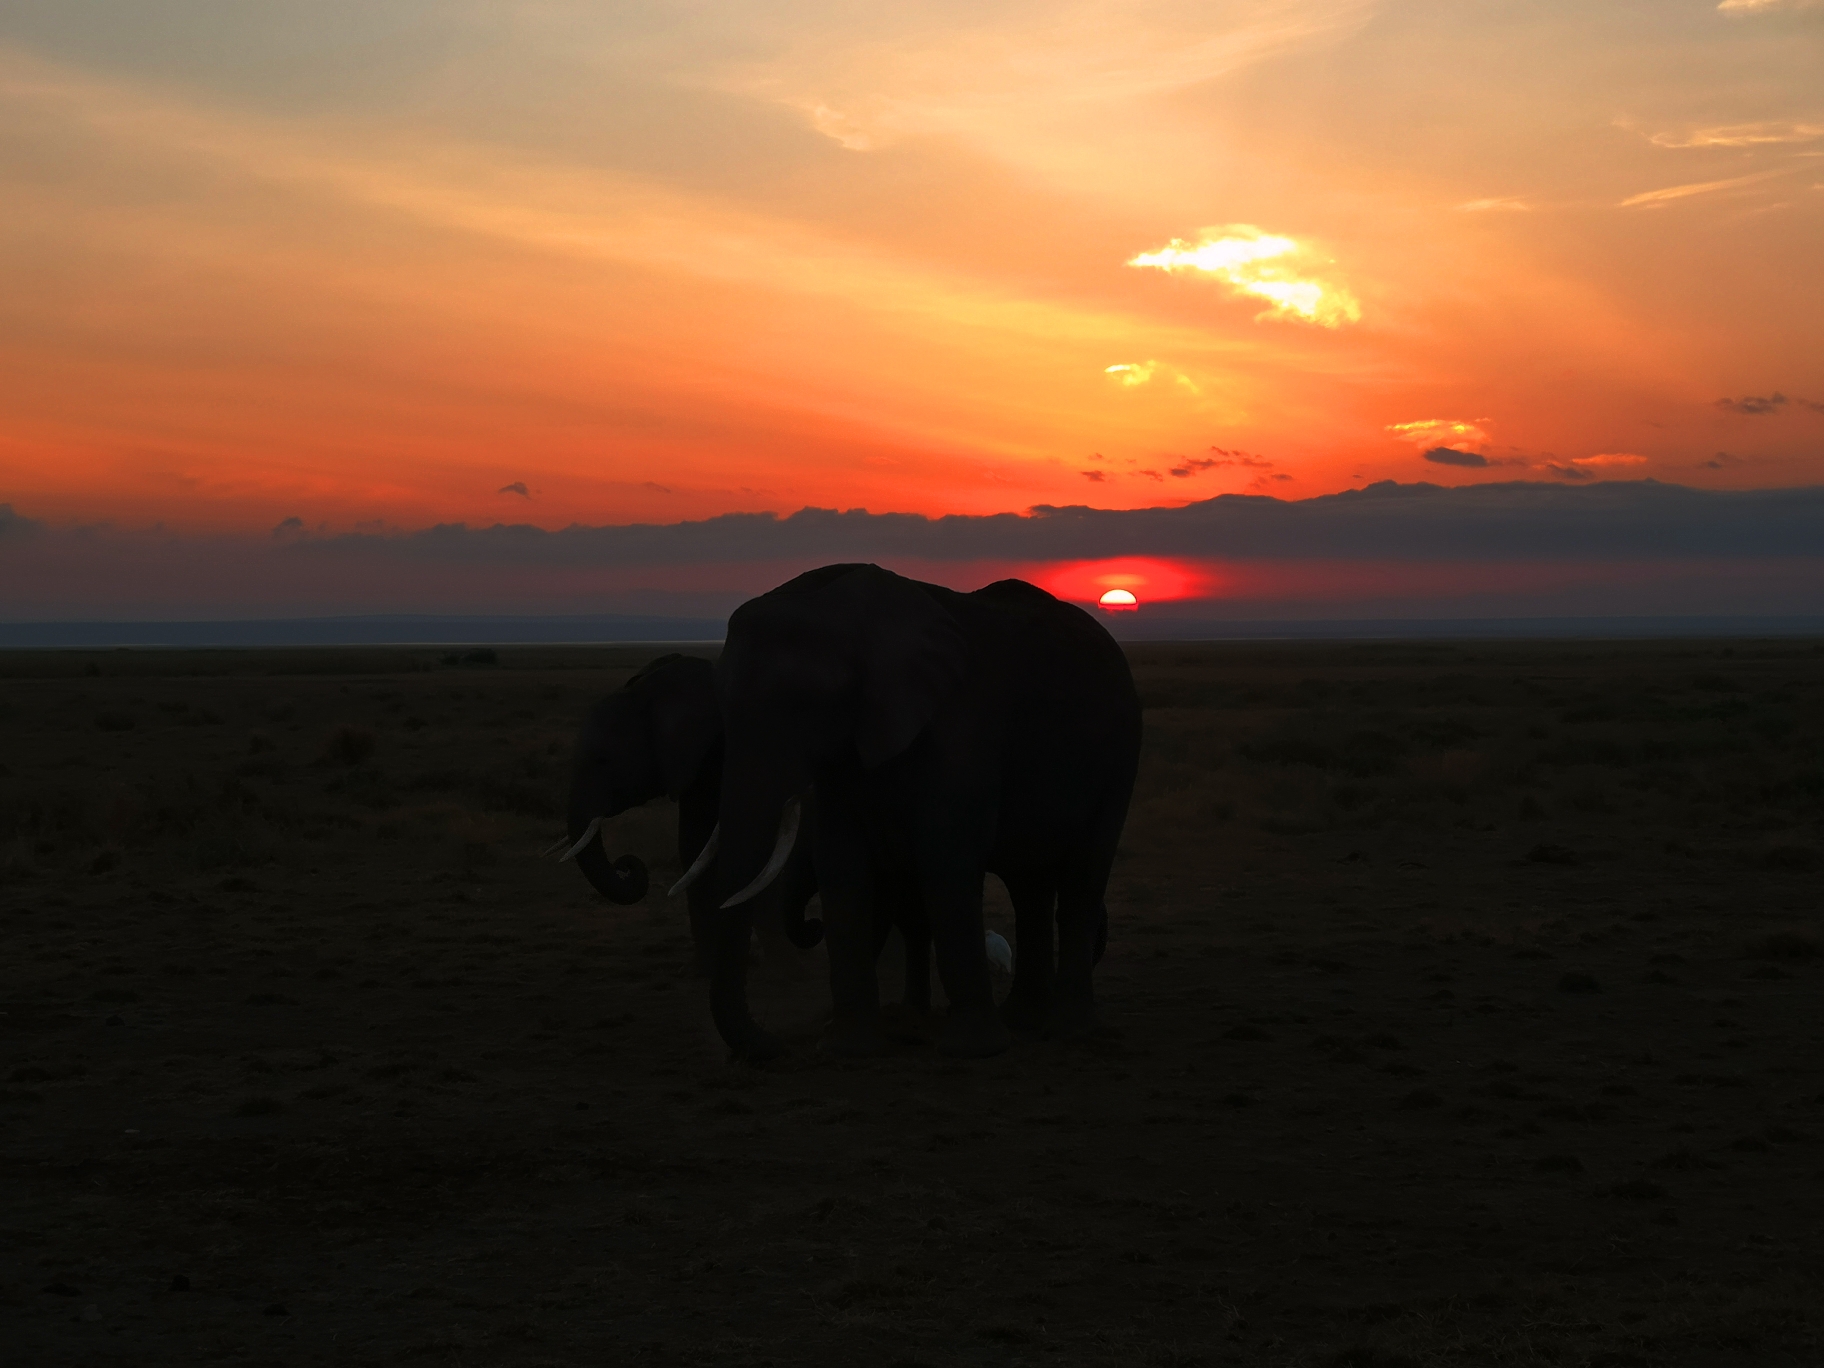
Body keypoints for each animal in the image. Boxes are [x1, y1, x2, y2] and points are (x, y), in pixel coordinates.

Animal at [696, 565, 1138, 1057]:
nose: (779, 1046)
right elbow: (842, 864)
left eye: (803, 702)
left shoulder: (962, 732)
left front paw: (972, 1049)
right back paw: (1024, 1021)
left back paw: (1070, 1032)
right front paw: (846, 1047)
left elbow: (947, 862)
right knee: (1030, 884)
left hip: (1119, 760)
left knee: (1082, 879)